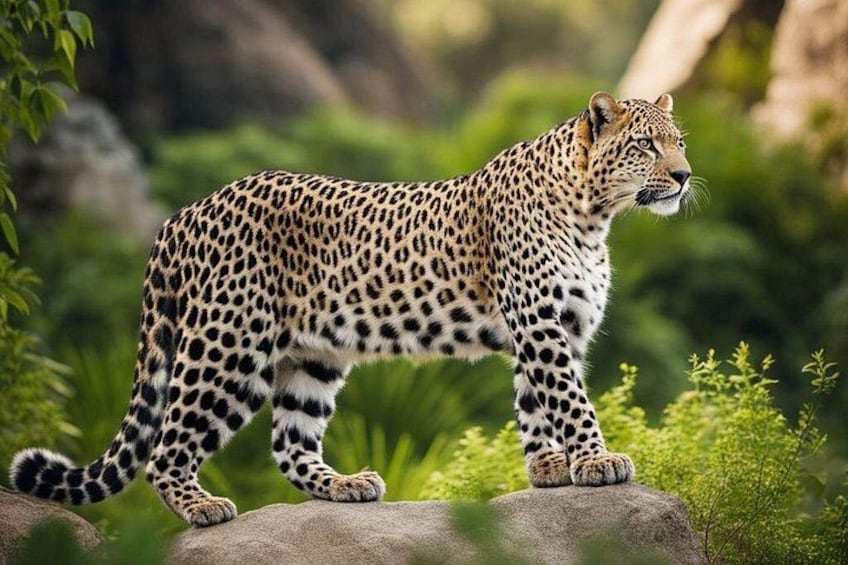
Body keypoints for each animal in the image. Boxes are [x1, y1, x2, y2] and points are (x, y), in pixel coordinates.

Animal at [11, 92, 692, 527]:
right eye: (644, 146)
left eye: (679, 143)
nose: (685, 176)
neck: (594, 216)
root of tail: (183, 214)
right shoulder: (540, 322)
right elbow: (569, 399)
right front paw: (599, 461)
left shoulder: (557, 327)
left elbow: (536, 401)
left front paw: (549, 468)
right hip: (229, 345)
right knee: (166, 444)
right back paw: (202, 507)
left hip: (312, 356)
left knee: (289, 442)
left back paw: (345, 486)